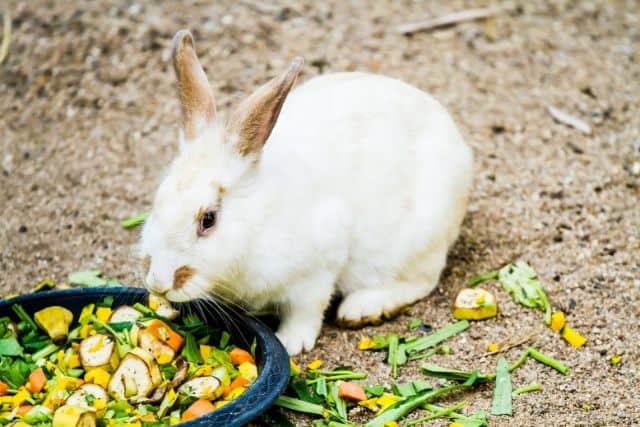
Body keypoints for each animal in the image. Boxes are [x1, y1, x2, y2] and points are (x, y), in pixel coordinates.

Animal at [139, 30, 474, 356]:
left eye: (208, 219)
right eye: (157, 201)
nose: (158, 283)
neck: (257, 219)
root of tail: (460, 147)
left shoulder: (317, 270)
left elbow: (307, 310)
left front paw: (291, 343)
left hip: (416, 244)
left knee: (423, 281)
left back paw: (362, 308)